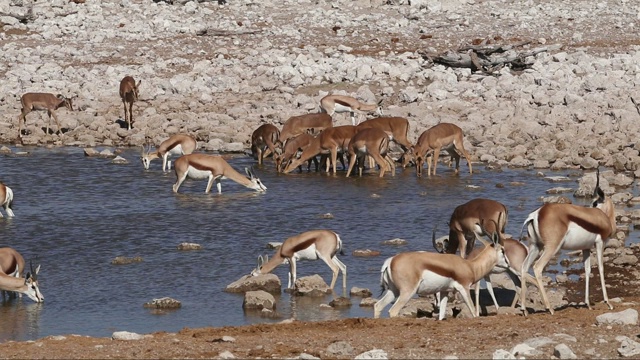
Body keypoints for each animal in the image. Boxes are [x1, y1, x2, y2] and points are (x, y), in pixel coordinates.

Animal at [372, 229, 508, 320]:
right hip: (407, 292)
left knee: (378, 306)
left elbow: (442, 314)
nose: (508, 264)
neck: (470, 266)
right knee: (393, 311)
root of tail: (390, 261)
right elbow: (474, 312)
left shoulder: (444, 291)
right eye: (502, 250)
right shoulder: (464, 288)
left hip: (393, 290)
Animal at [520, 169, 616, 316]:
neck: (604, 218)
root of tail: (536, 214)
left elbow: (587, 270)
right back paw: (550, 308)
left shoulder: (586, 248)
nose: (589, 208)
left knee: (524, 267)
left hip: (536, 247)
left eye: (594, 202)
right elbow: (600, 268)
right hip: (551, 247)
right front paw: (608, 303)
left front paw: (588, 304)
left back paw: (524, 309)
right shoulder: (600, 243)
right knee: (537, 267)